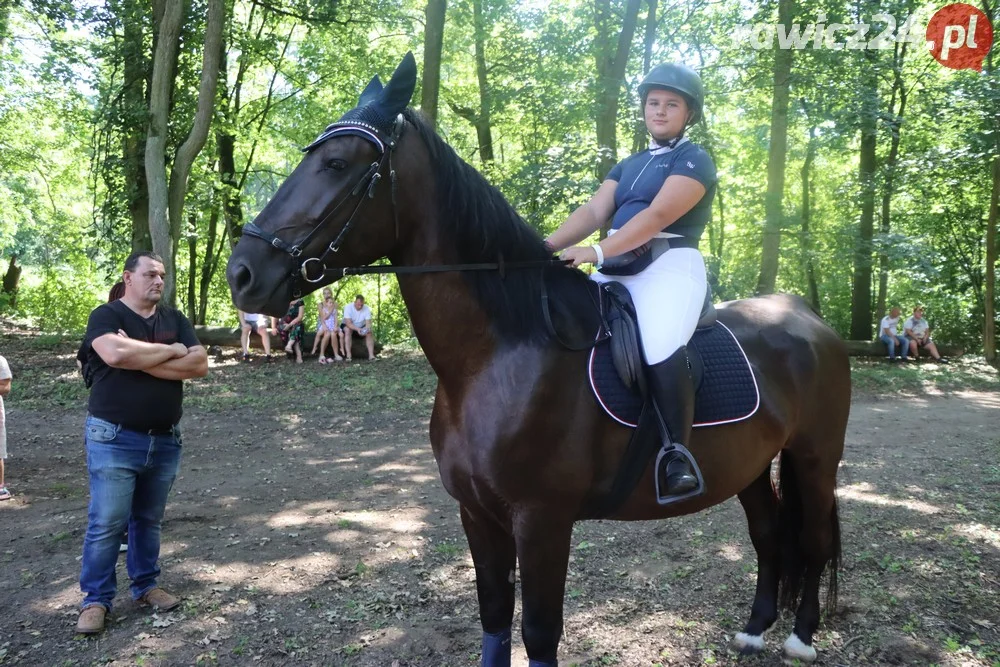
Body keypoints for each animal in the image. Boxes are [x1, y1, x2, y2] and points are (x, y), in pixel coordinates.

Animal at [225, 61, 844, 664]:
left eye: (336, 163)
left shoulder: (543, 520)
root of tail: (806, 316)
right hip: (751, 463)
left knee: (813, 539)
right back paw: (755, 629)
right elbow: (495, 620)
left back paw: (801, 637)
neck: (494, 360)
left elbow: (540, 634)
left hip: (814, 457)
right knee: (768, 534)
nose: (242, 273)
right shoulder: (477, 514)